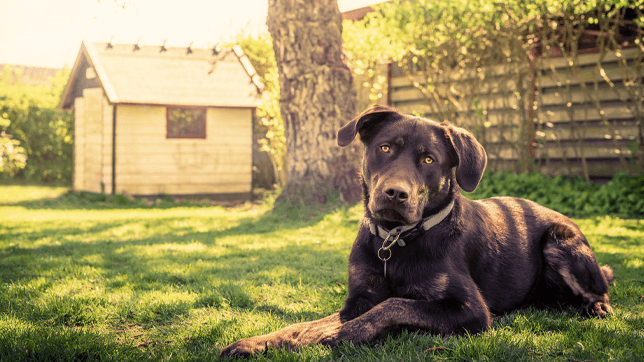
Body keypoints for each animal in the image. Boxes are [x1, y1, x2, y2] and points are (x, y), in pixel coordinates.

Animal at [221, 104, 612, 356]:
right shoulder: (357, 298)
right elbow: (305, 324)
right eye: (384, 148)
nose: (395, 193)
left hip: (560, 241)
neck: (398, 241)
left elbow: (394, 304)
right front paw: (259, 342)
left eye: (428, 159)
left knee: (601, 289)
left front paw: (341, 335)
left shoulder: (470, 310)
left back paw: (597, 307)